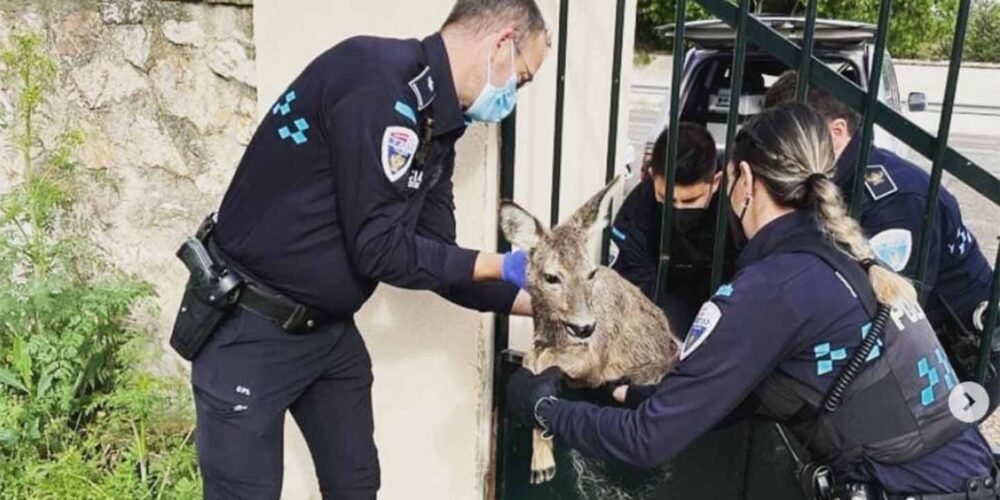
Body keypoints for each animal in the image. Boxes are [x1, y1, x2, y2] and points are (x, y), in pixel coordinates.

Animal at [500, 177, 680, 484]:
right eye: (551, 277)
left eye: (591, 272)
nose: (584, 326)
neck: (555, 333)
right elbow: (532, 358)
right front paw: (542, 460)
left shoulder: (596, 358)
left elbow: (544, 361)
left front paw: (542, 461)